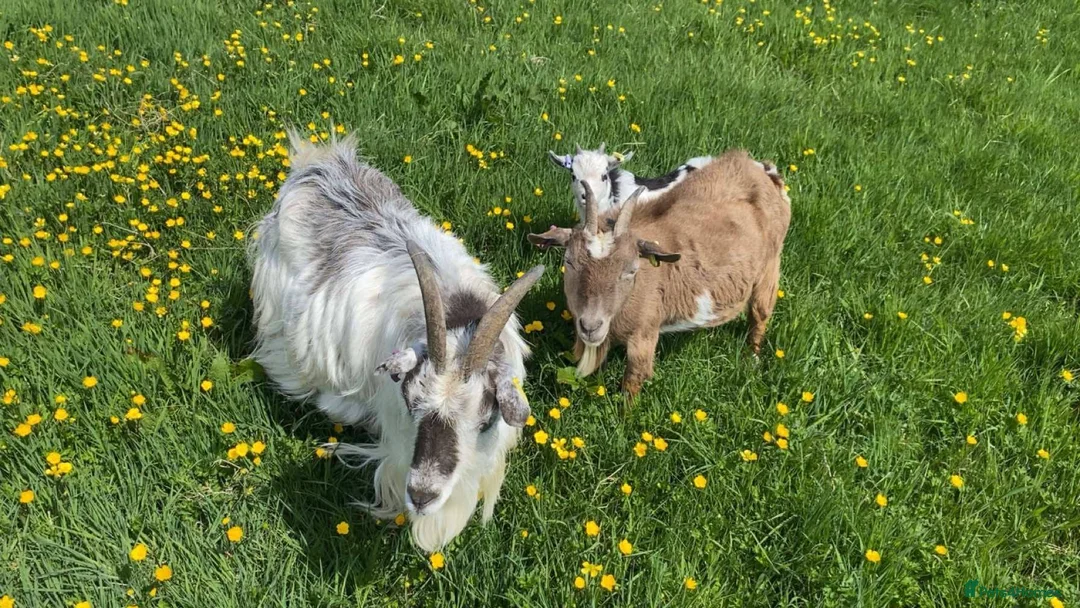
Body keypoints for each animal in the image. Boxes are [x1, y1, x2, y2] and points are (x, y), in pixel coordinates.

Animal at [529, 150, 790, 397]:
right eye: (569, 261)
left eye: (631, 270)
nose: (590, 326)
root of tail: (763, 169)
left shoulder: (645, 330)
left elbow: (634, 379)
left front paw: (626, 411)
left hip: (771, 265)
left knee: (760, 313)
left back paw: (752, 358)